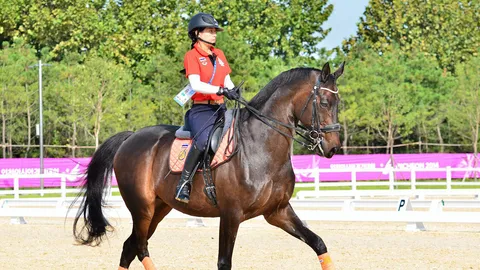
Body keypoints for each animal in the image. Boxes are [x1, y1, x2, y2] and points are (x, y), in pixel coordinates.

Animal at [73, 61, 344, 270]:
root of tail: (130, 138)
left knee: (130, 248)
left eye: (337, 103)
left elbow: (318, 243)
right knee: (140, 248)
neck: (260, 148)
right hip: (142, 208)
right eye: (323, 102)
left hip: (158, 209)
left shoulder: (278, 211)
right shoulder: (231, 215)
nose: (333, 147)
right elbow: (224, 262)